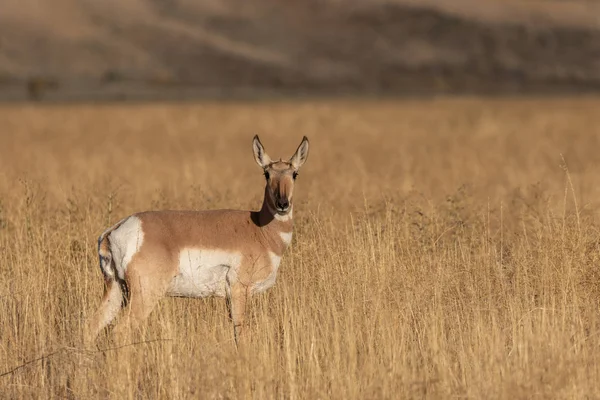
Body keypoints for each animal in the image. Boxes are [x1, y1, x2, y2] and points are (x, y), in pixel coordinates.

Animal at [85, 136, 310, 346]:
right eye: (266, 174)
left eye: (294, 174)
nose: (283, 204)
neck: (259, 229)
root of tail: (116, 229)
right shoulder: (239, 290)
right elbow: (241, 335)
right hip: (144, 295)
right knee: (120, 331)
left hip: (116, 290)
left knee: (91, 326)